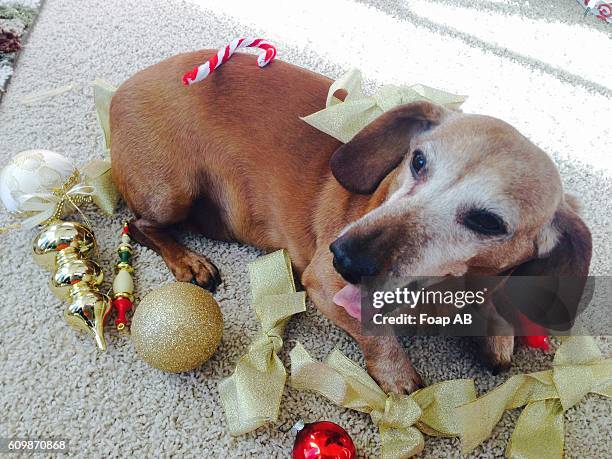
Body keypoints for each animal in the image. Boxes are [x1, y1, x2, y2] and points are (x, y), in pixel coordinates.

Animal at [111, 51, 592, 396]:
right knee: (139, 226)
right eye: (418, 160)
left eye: (488, 222)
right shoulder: (324, 285)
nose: (343, 256)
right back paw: (188, 261)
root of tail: (122, 89)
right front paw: (398, 375)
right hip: (171, 192)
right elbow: (375, 333)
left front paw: (497, 330)